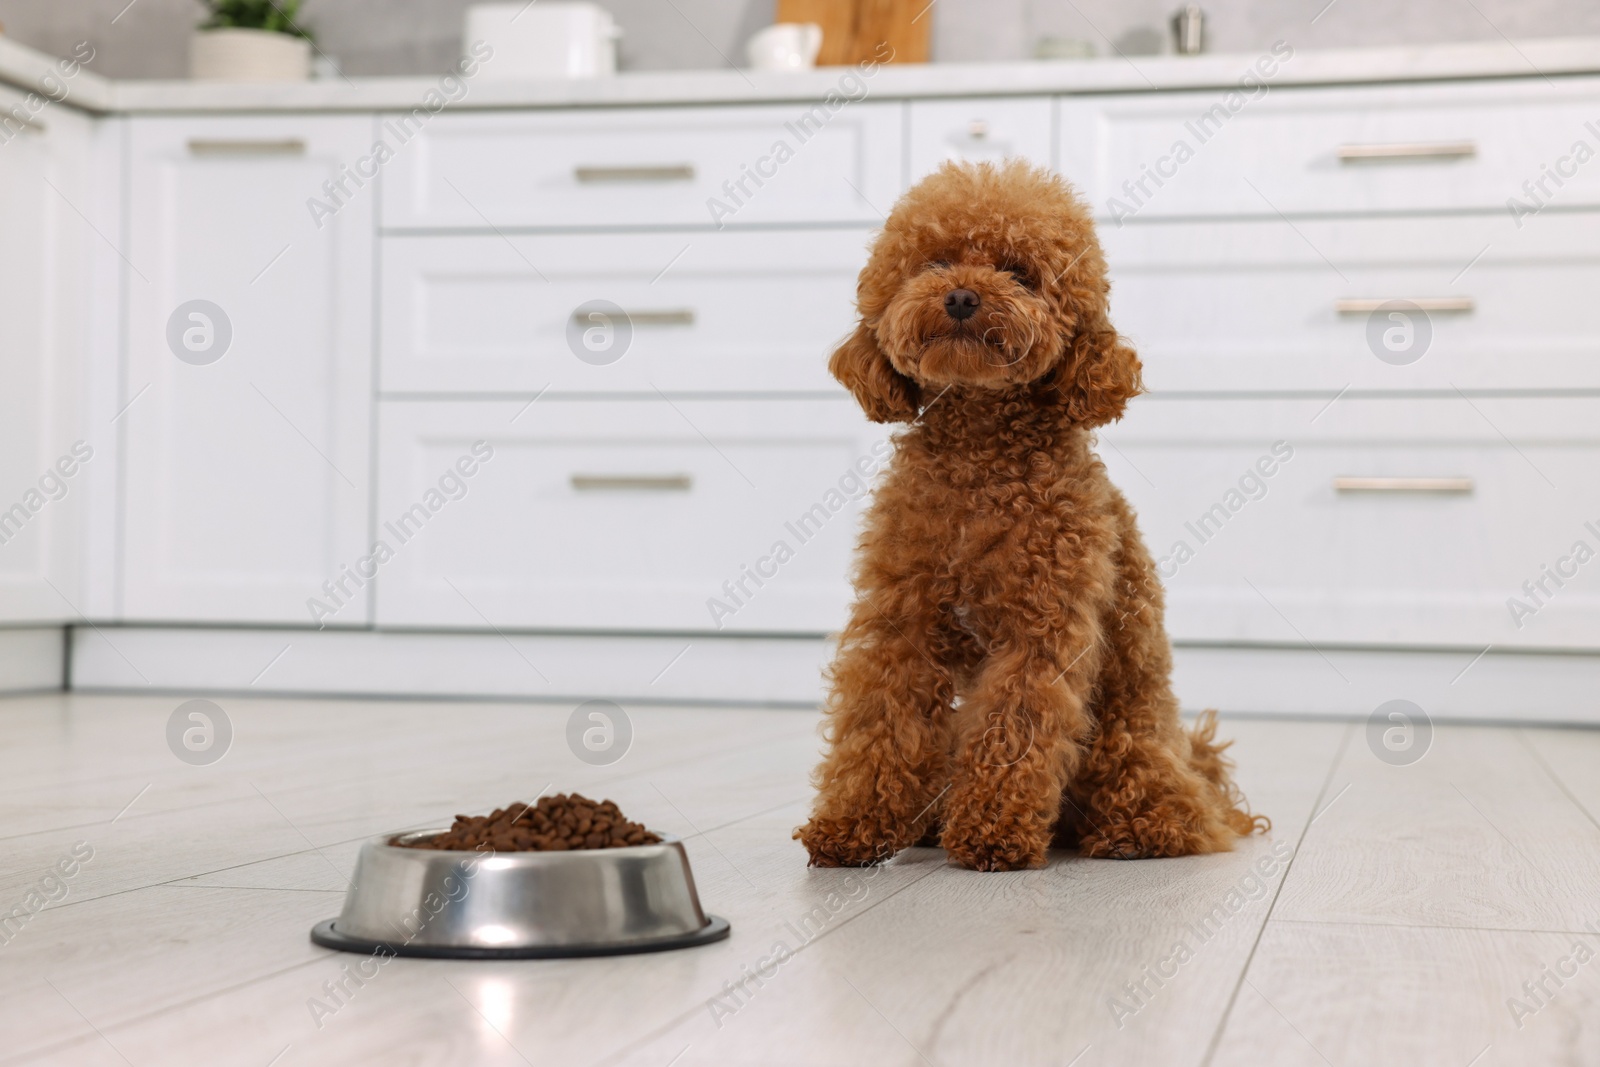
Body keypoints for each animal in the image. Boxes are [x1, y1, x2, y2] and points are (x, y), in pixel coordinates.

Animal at [793, 160, 1267, 876]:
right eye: (934, 262)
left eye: (1018, 272)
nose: (962, 297)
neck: (980, 457)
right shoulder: (902, 620)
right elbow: (880, 721)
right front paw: (853, 826)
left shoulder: (1041, 629)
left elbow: (1016, 725)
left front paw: (993, 833)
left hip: (1127, 740)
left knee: (1174, 810)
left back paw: (1138, 831)